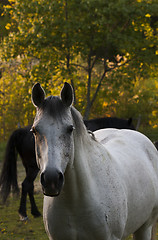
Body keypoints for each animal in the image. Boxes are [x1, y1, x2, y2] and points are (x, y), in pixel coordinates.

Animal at [0, 116, 135, 219]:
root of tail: (21, 131)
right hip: (33, 168)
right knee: (26, 185)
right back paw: (24, 213)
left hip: (30, 167)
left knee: (29, 186)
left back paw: (34, 212)